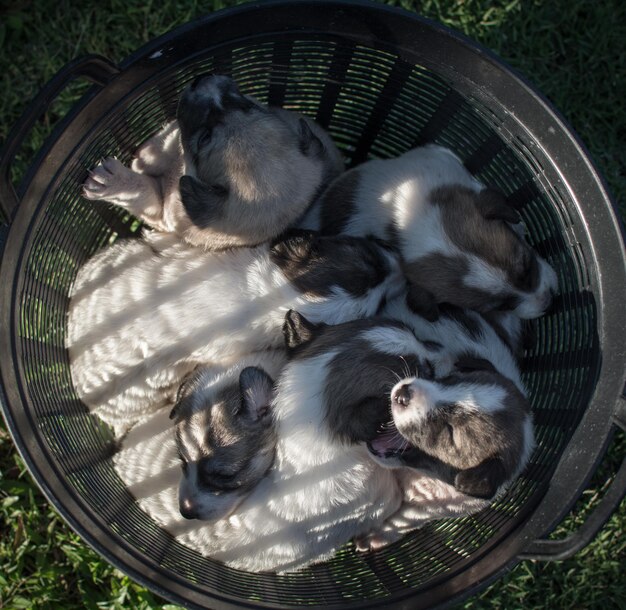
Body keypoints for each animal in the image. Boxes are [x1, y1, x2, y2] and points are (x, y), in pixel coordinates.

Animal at [81, 74, 344, 249]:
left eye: (204, 139)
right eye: (246, 105)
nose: (200, 81)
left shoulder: (161, 214)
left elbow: (144, 192)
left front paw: (115, 182)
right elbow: (171, 137)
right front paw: (149, 152)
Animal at [302, 143, 556, 318]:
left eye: (527, 266)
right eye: (501, 307)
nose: (549, 302)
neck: (417, 218)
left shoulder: (444, 161)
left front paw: (518, 225)